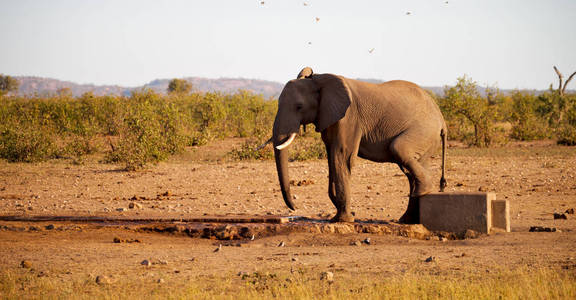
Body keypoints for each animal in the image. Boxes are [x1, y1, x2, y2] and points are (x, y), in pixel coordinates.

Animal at [272, 67, 450, 223]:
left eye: (299, 106)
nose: (294, 208)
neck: (319, 80)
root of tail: (442, 121)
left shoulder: (349, 117)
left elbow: (342, 156)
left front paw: (343, 220)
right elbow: (332, 157)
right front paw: (338, 218)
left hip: (423, 130)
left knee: (399, 149)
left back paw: (422, 192)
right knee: (412, 167)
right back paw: (408, 220)